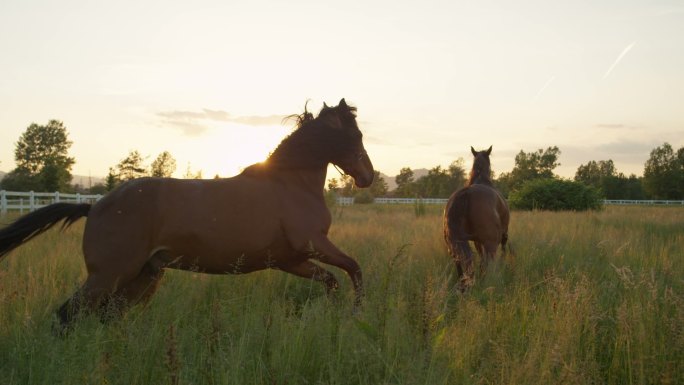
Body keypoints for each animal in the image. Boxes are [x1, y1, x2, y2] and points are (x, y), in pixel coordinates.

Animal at [0, 97, 374, 326]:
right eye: (356, 134)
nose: (368, 176)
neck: (290, 184)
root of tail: (95, 207)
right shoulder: (312, 244)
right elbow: (354, 269)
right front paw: (356, 314)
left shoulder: (290, 260)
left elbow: (332, 281)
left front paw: (330, 315)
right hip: (109, 276)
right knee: (67, 317)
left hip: (141, 277)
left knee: (108, 318)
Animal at [444, 146, 508, 286]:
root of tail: (467, 193)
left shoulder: (477, 241)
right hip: (491, 244)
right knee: (488, 263)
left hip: (454, 246)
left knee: (461, 265)